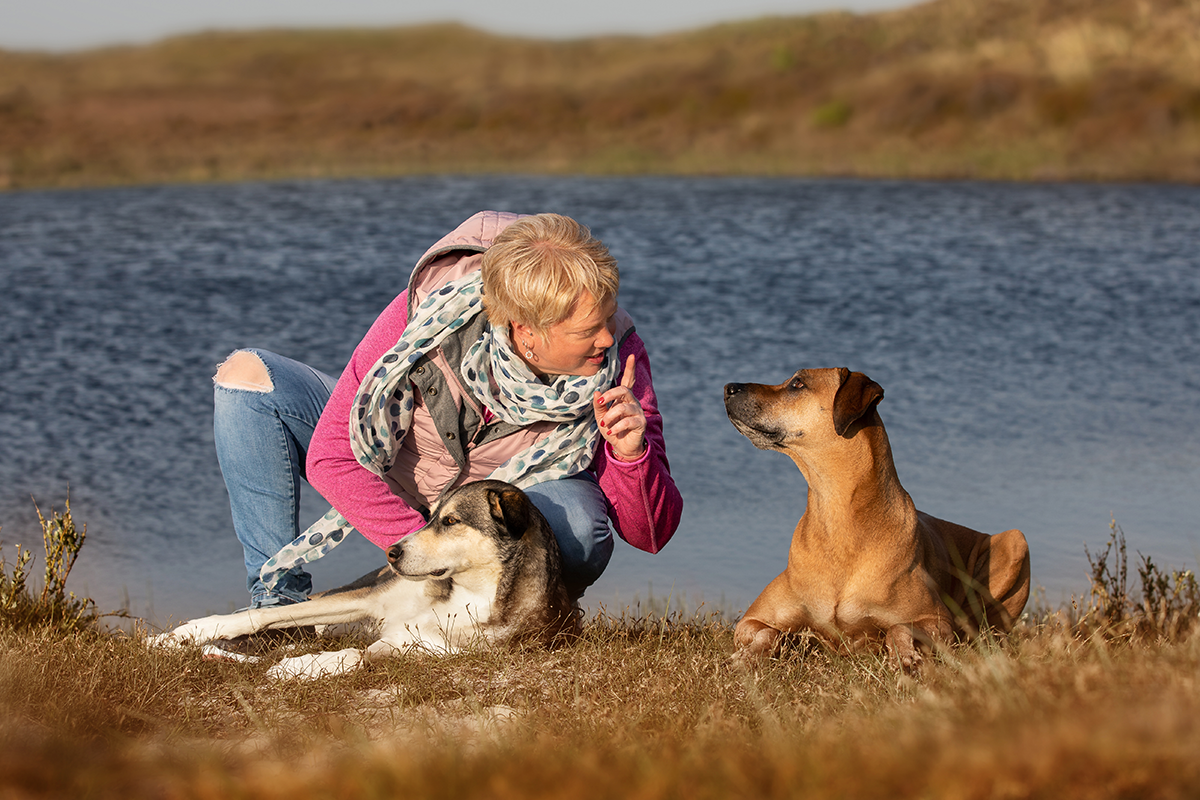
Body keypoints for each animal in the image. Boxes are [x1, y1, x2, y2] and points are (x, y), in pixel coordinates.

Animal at [152, 479, 578, 681]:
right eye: (430, 516)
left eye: (451, 521)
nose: (392, 552)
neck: (467, 592)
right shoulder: (370, 599)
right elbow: (260, 615)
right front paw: (188, 632)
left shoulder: (417, 646)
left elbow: (357, 657)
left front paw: (295, 668)